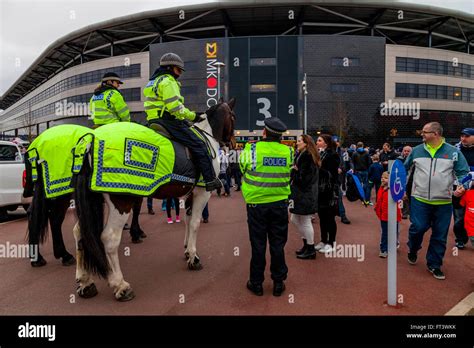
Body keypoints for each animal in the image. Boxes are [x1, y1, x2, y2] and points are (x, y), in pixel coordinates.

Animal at [73, 98, 235, 302]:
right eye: (233, 116)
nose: (233, 142)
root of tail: (91, 140)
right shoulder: (201, 193)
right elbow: (195, 223)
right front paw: (193, 257)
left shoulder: (190, 193)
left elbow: (188, 220)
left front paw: (186, 250)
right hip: (121, 202)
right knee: (109, 238)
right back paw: (120, 286)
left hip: (95, 200)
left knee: (80, 232)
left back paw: (85, 282)